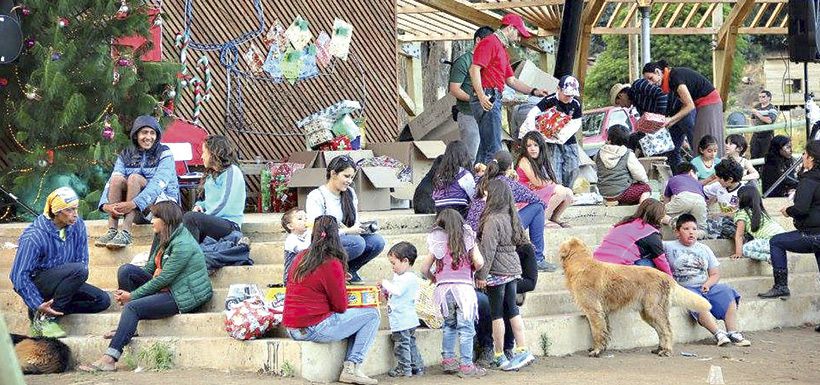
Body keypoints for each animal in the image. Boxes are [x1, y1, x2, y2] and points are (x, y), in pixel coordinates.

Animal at [556, 237, 712, 356]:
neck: (581, 263)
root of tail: (667, 277)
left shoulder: (594, 310)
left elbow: (597, 332)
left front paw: (596, 351)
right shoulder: (603, 313)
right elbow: (605, 331)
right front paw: (602, 348)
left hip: (653, 310)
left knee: (667, 330)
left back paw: (666, 351)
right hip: (648, 313)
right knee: (661, 331)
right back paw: (659, 349)